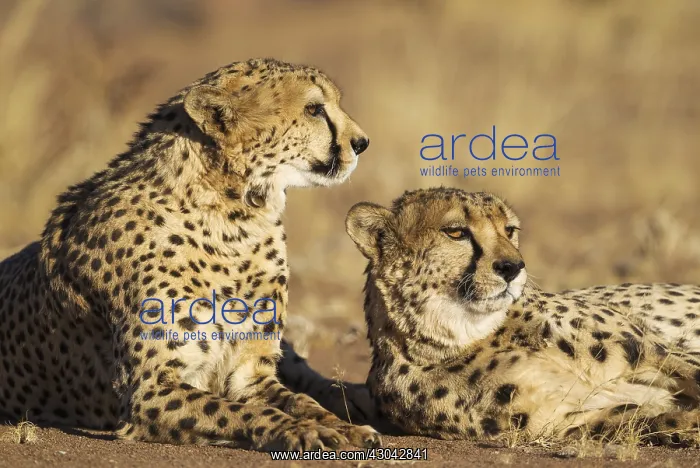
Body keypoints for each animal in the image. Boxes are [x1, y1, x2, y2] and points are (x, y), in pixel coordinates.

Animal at [0, 57, 382, 452]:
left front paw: (342, 426)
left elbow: (300, 401)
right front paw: (305, 431)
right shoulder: (149, 391)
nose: (362, 142)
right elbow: (244, 412)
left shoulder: (249, 373)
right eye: (314, 109)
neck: (235, 221)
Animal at [331, 186, 700, 445]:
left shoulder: (652, 350)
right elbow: (651, 417)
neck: (472, 334)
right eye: (456, 232)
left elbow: (690, 371)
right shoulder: (565, 419)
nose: (512, 267)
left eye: (509, 230)